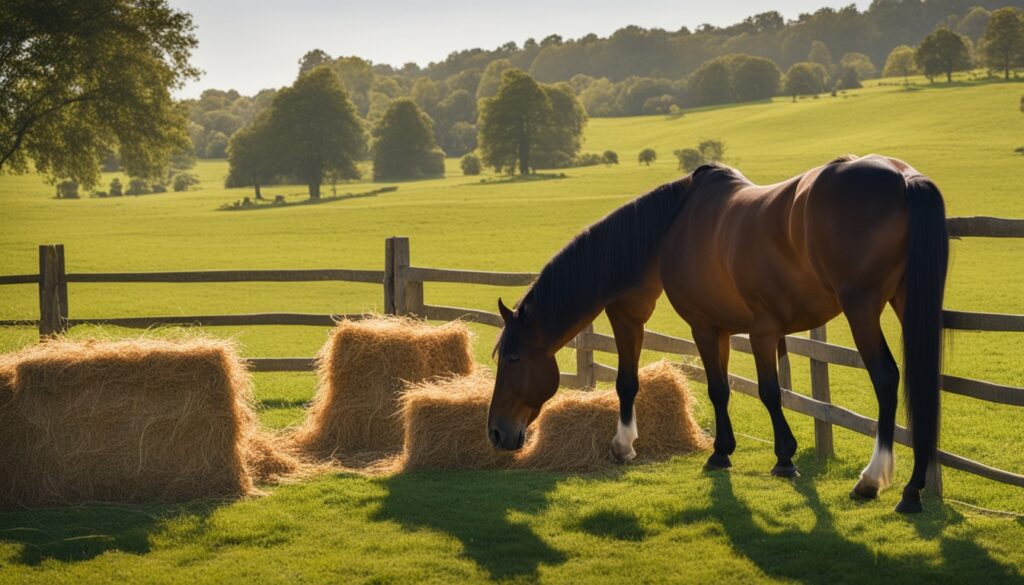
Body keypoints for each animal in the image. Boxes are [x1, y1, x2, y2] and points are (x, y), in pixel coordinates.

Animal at [486, 154, 948, 514]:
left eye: (512, 358)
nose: (496, 432)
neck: (673, 226)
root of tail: (903, 177)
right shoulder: (734, 330)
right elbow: (723, 389)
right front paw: (727, 451)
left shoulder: (712, 328)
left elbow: (742, 390)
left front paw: (764, 456)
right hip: (905, 301)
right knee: (920, 382)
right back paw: (912, 491)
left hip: (861, 307)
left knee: (886, 378)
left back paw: (872, 479)